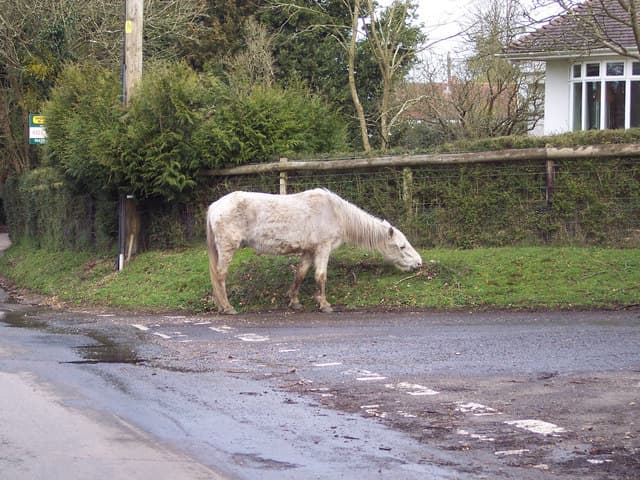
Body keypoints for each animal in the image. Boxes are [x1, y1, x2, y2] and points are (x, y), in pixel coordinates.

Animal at [206, 188, 422, 314]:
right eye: (402, 247)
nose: (419, 263)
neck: (336, 212)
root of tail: (215, 206)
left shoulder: (309, 251)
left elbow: (300, 275)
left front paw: (295, 302)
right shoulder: (323, 248)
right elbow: (321, 276)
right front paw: (324, 305)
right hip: (227, 248)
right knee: (220, 275)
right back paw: (227, 307)